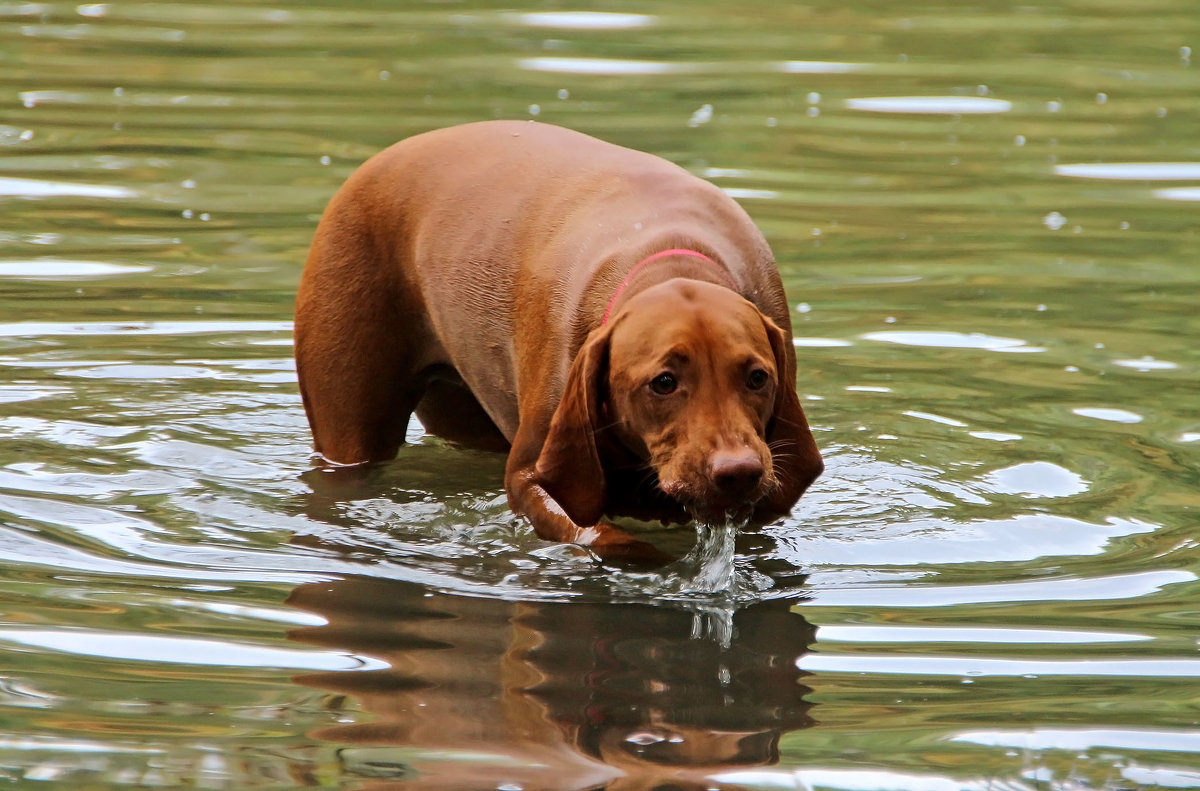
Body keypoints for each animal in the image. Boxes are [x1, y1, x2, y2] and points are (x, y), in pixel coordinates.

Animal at [295, 120, 825, 559]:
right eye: (663, 383)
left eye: (757, 378)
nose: (738, 472)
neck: (672, 260)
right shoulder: (532, 475)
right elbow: (597, 533)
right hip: (350, 430)